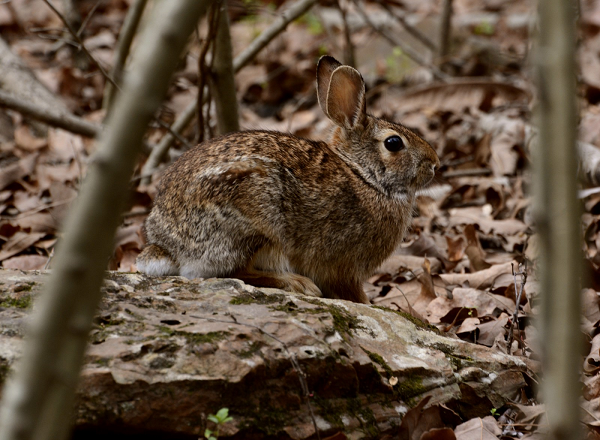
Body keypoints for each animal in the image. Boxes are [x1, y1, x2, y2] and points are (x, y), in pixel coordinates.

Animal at [137, 54, 440, 302]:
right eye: (393, 143)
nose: (435, 164)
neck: (363, 175)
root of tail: (166, 246)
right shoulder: (344, 267)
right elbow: (350, 291)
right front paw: (369, 304)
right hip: (253, 223)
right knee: (236, 272)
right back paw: (297, 283)